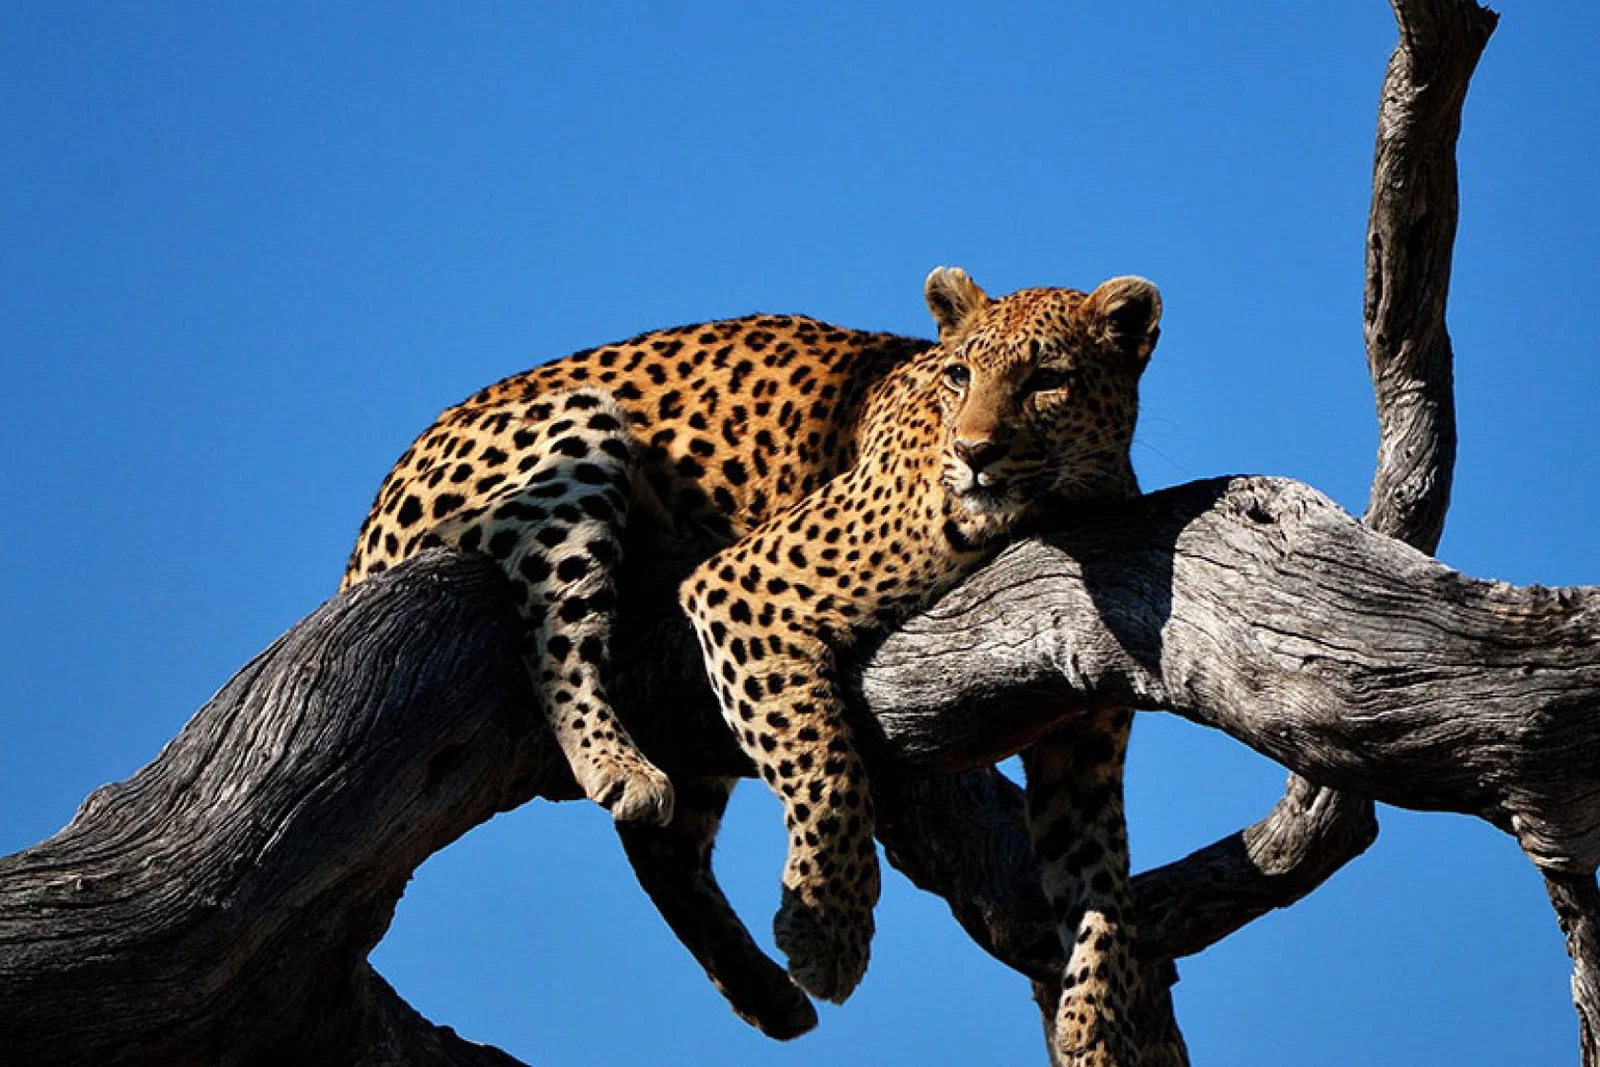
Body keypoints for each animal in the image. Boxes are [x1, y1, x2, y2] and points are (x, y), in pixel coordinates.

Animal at [343, 268, 1162, 1062]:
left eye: (1046, 380)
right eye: (959, 374)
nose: (972, 452)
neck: (1050, 510)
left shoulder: (1082, 740)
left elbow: (1100, 876)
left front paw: (1097, 1023)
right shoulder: (745, 589)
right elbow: (826, 764)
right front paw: (829, 935)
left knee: (664, 844)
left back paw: (762, 991)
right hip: (574, 433)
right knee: (557, 634)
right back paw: (619, 765)